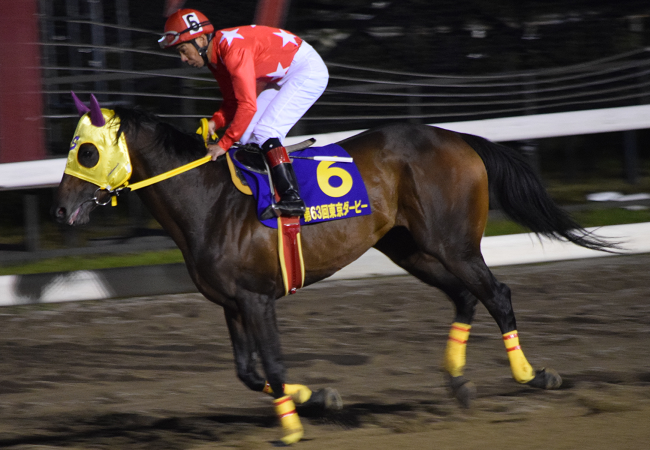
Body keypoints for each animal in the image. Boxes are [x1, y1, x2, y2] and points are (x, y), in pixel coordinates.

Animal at [54, 99, 615, 444]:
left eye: (87, 150)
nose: (59, 210)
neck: (210, 200)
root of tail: (455, 137)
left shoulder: (257, 298)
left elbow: (273, 365)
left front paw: (292, 428)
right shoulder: (232, 303)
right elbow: (249, 371)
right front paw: (317, 397)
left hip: (453, 244)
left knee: (497, 293)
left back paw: (531, 374)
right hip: (409, 248)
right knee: (464, 298)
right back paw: (458, 382)